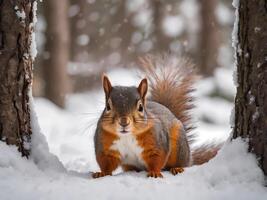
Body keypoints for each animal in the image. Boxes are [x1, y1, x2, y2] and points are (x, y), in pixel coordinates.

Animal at [92, 54, 222, 178]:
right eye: (108, 106)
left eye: (140, 107)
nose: (124, 122)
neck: (127, 136)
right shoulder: (106, 147)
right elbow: (106, 163)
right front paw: (102, 173)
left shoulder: (157, 143)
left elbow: (157, 159)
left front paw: (154, 172)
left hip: (179, 146)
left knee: (180, 163)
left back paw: (177, 168)